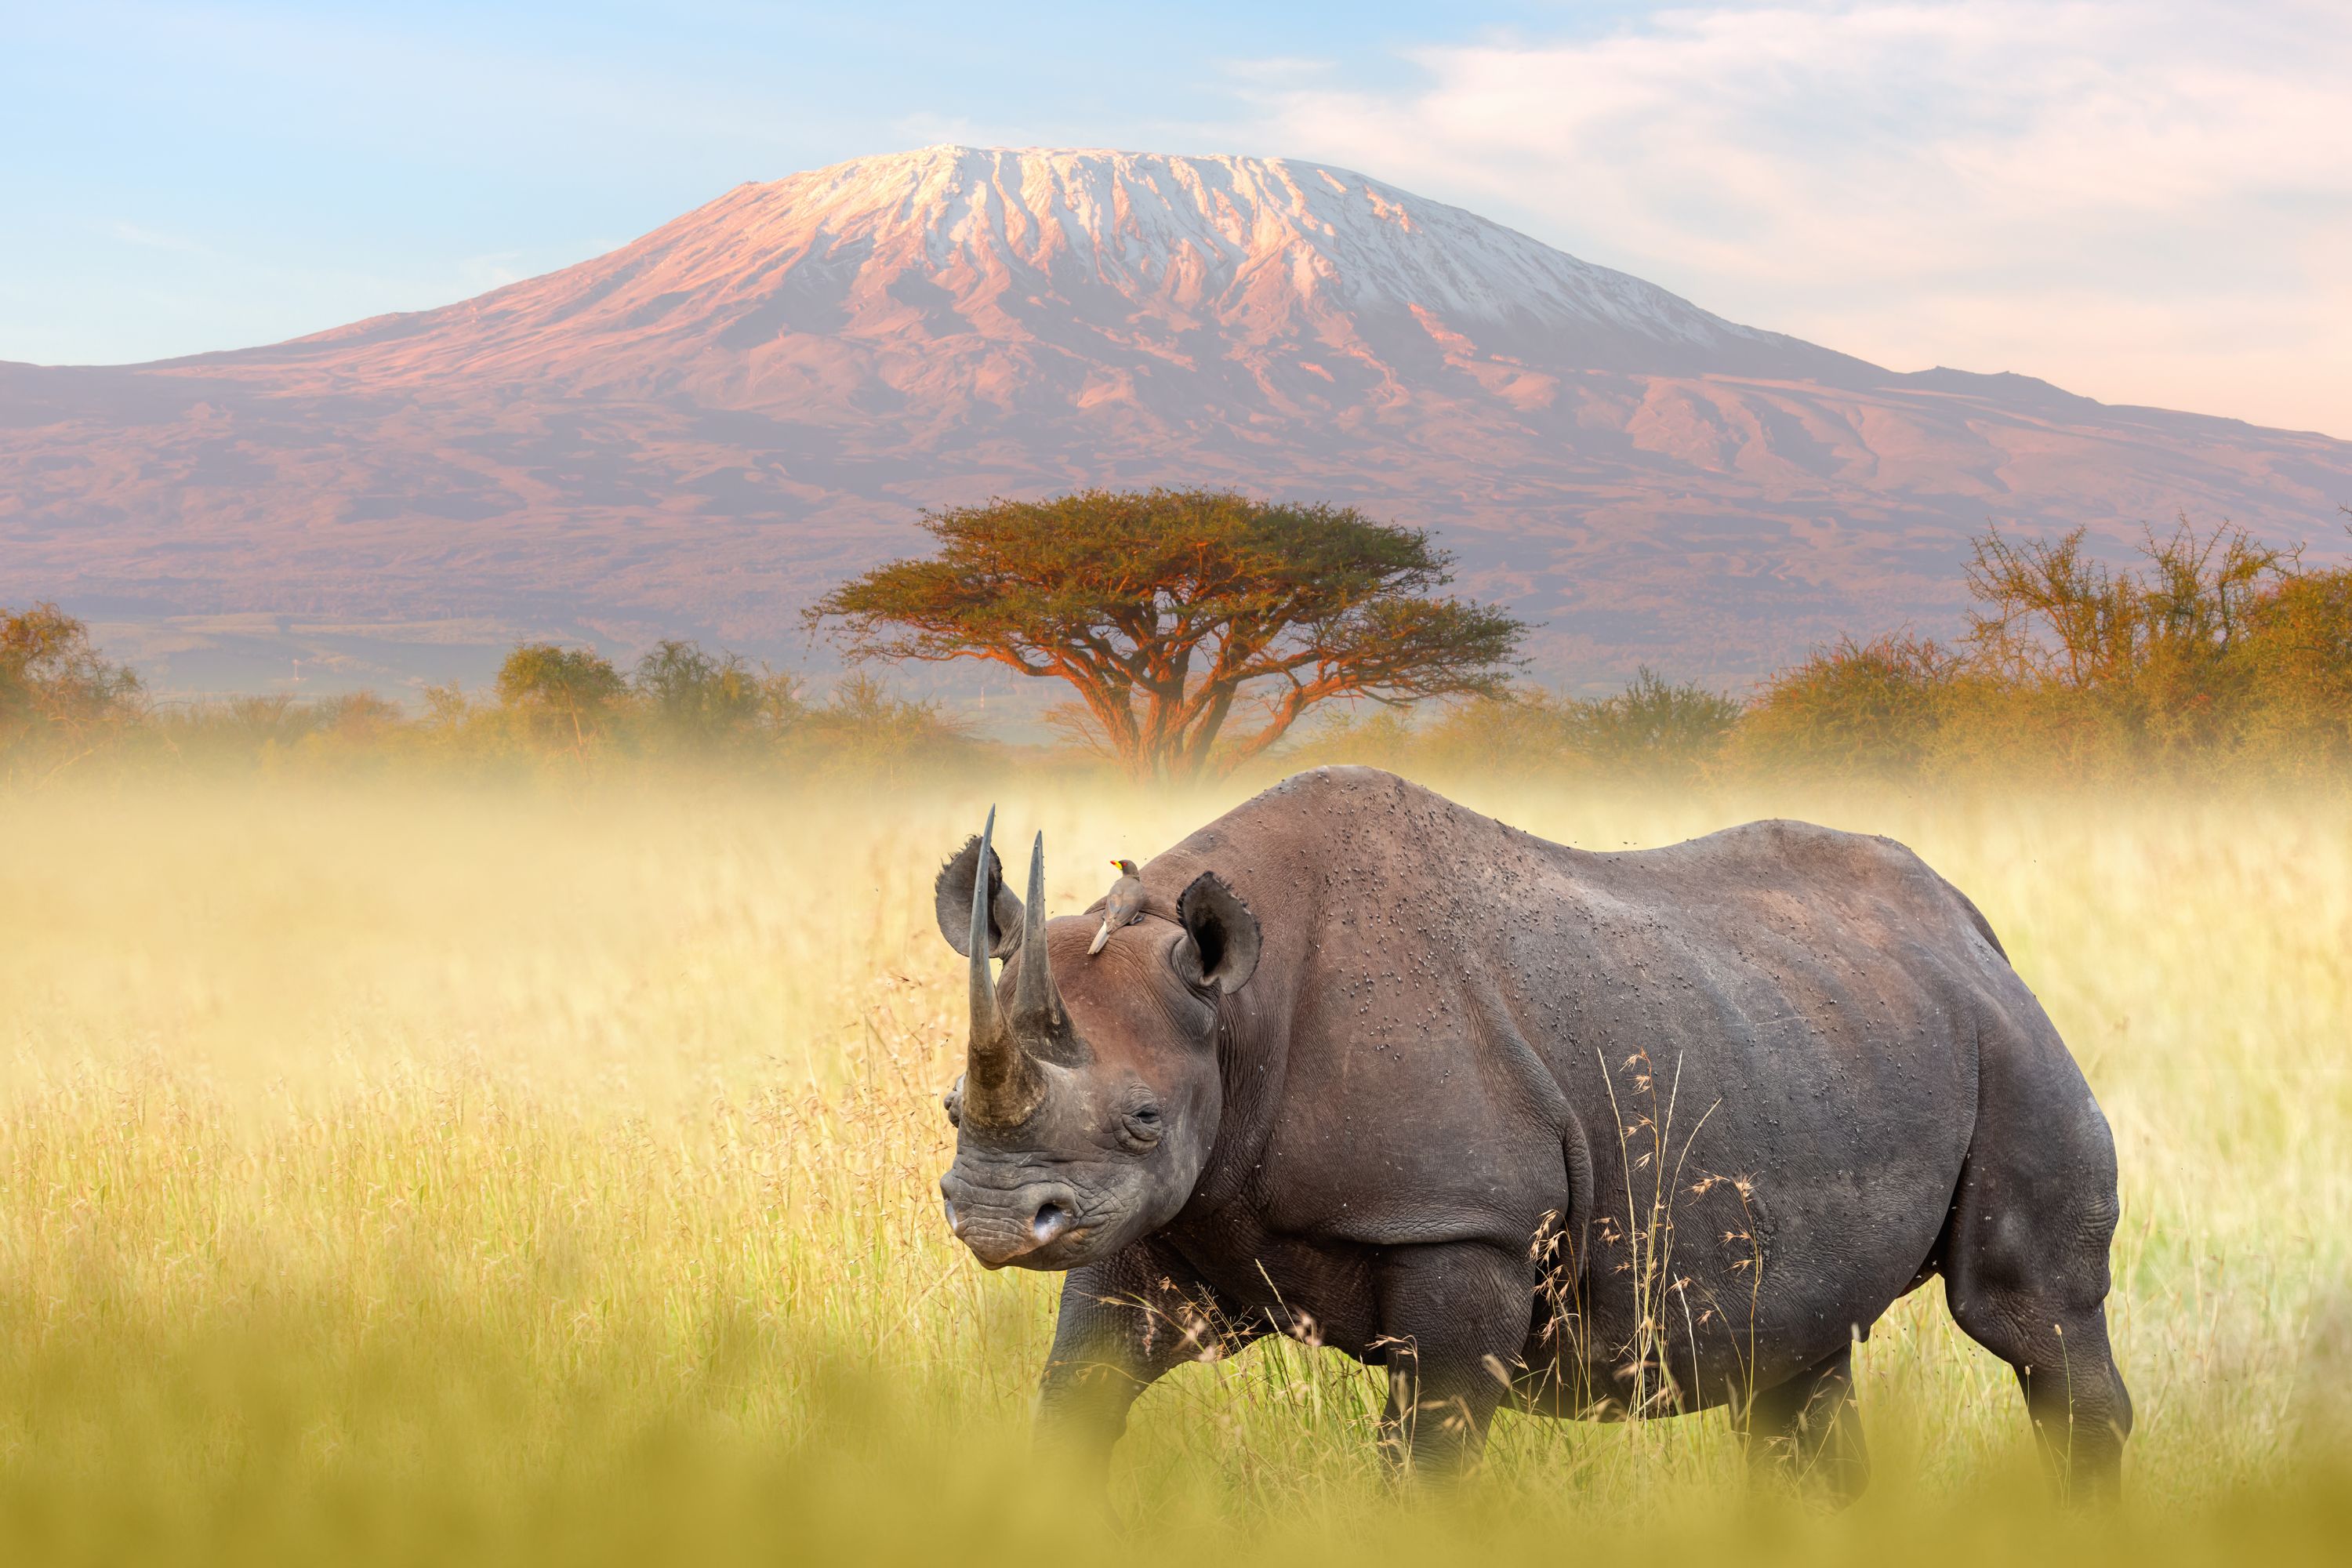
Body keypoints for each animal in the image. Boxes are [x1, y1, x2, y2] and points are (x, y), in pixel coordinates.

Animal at [933, 767, 2130, 1499]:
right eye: (950, 1109)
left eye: (1144, 1117)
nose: (995, 1215)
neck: (1235, 1014)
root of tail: (1971, 926)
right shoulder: (1163, 1222)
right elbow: (1077, 1396)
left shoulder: (1466, 1224)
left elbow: (1426, 1455)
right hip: (1819, 1031)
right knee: (1796, 1364)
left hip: (2011, 1044)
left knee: (2027, 1314)